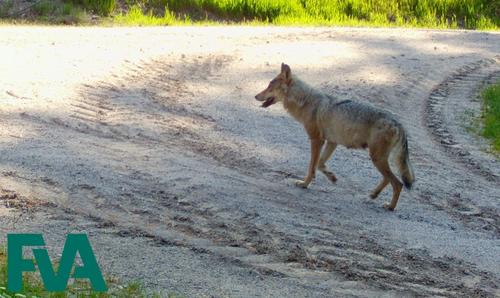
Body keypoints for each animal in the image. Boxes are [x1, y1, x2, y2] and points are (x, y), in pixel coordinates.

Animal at [254, 64, 414, 211]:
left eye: (269, 87)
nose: (255, 96)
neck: (306, 102)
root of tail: (398, 123)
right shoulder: (331, 142)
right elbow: (319, 164)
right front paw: (331, 176)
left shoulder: (316, 140)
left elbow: (311, 167)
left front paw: (304, 184)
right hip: (378, 159)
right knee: (389, 179)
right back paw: (374, 195)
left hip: (377, 159)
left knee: (398, 183)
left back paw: (390, 206)